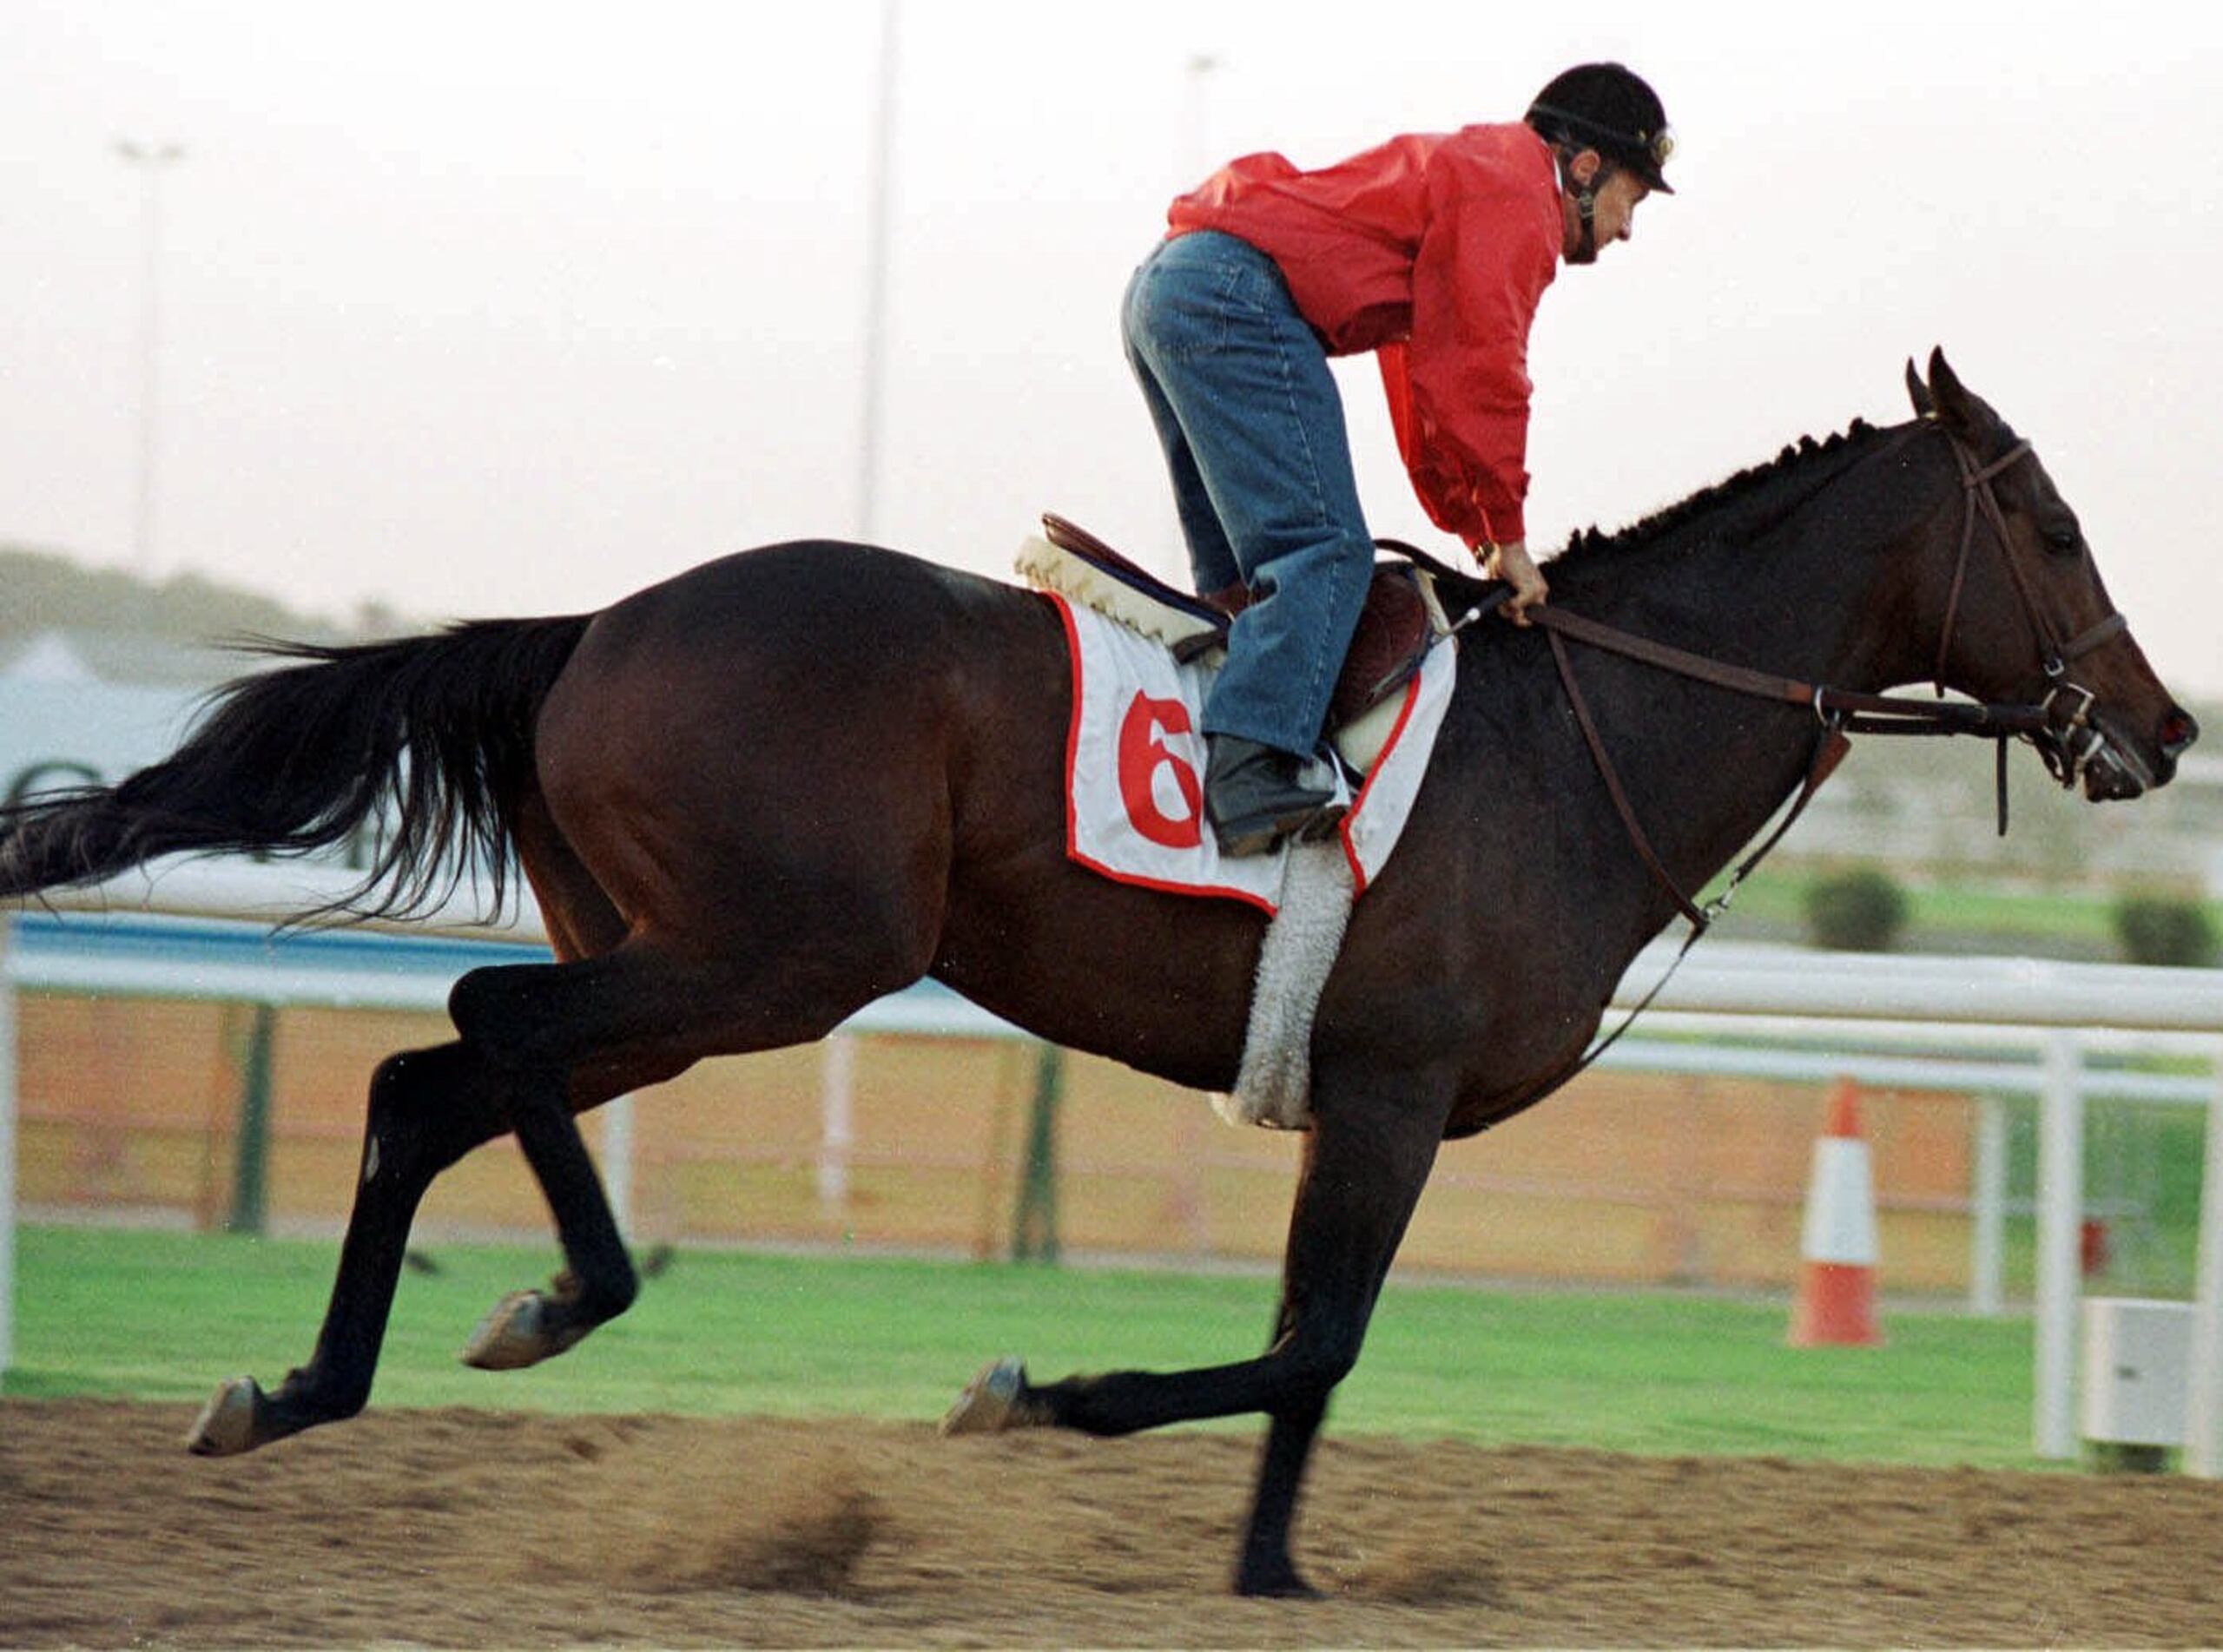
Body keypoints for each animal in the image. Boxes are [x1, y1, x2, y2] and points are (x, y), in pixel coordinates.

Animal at [0, 351, 2187, 1601]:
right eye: (2050, 522)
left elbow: (1315, 1350)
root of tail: (592, 625)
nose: (2159, 732)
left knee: (434, 1077)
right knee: (472, 1042)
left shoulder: (1373, 1098)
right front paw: (1040, 1391)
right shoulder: (1388, 1088)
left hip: (683, 944)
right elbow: (1308, 1344)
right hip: (773, 950)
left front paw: (1270, 1567)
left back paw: (334, 1372)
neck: (1582, 742)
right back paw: (537, 1306)